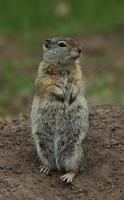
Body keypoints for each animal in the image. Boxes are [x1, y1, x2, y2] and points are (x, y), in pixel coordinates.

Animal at [30, 36, 89, 183]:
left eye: (75, 40)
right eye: (62, 45)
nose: (80, 49)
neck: (64, 65)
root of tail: (58, 163)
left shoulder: (79, 74)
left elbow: (78, 83)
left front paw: (72, 95)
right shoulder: (42, 74)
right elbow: (48, 85)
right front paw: (61, 94)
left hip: (74, 153)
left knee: (75, 169)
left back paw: (67, 176)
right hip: (42, 149)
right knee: (51, 165)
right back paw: (46, 168)